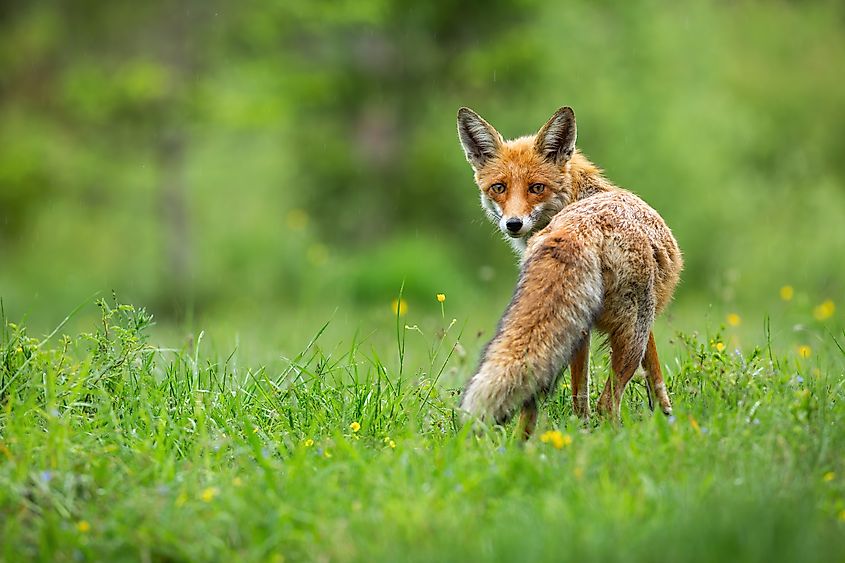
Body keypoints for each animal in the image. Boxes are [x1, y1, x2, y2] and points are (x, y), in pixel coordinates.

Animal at [454, 108, 680, 434]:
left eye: (537, 188)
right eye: (499, 187)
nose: (513, 224)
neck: (577, 198)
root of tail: (577, 229)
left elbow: (641, 380)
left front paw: (665, 418)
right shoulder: (644, 320)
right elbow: (657, 375)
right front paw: (668, 419)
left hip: (572, 330)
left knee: (537, 402)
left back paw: (527, 444)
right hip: (629, 330)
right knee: (606, 403)